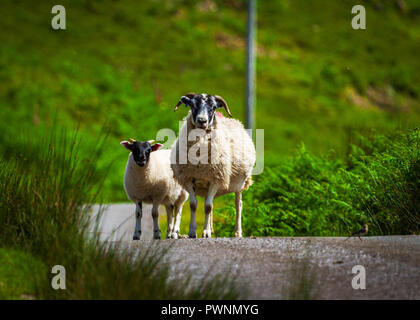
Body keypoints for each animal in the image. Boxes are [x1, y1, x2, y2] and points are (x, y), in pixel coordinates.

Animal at [171, 92, 256, 238]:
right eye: (193, 105)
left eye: (213, 108)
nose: (202, 121)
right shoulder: (189, 178)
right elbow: (194, 205)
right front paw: (193, 232)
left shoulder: (215, 178)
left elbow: (208, 207)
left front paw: (205, 232)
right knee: (208, 202)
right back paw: (210, 228)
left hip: (239, 183)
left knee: (238, 204)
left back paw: (237, 232)